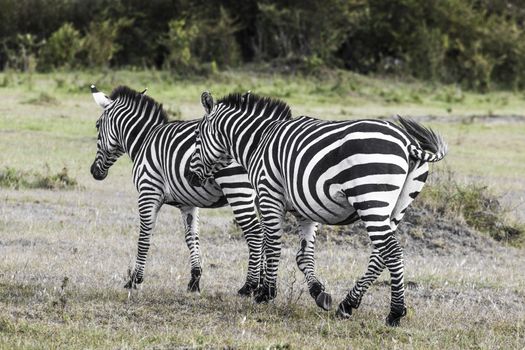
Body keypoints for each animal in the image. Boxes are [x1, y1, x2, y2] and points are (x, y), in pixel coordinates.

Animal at [89, 85, 266, 296]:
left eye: (97, 125)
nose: (94, 172)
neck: (143, 141)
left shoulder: (148, 192)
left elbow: (144, 236)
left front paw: (134, 280)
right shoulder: (188, 204)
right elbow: (191, 237)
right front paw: (194, 281)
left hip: (237, 189)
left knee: (255, 233)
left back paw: (249, 287)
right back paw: (263, 287)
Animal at [186, 91, 444, 326]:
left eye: (197, 136)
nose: (189, 177)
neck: (258, 141)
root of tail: (407, 142)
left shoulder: (269, 194)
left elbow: (273, 246)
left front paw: (265, 294)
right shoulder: (306, 209)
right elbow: (303, 255)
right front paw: (318, 292)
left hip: (371, 197)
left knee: (392, 251)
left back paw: (395, 313)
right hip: (398, 206)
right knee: (380, 254)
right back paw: (347, 304)